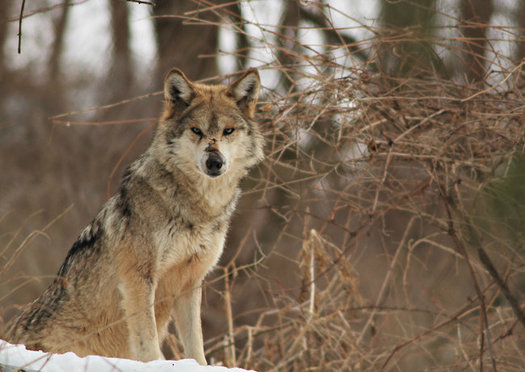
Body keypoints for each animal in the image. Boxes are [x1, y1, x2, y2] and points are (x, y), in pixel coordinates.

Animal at [6, 66, 264, 364]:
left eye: (228, 131)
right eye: (196, 130)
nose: (215, 162)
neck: (197, 210)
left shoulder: (191, 281)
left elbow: (196, 342)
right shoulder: (139, 277)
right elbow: (146, 336)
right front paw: (157, 364)